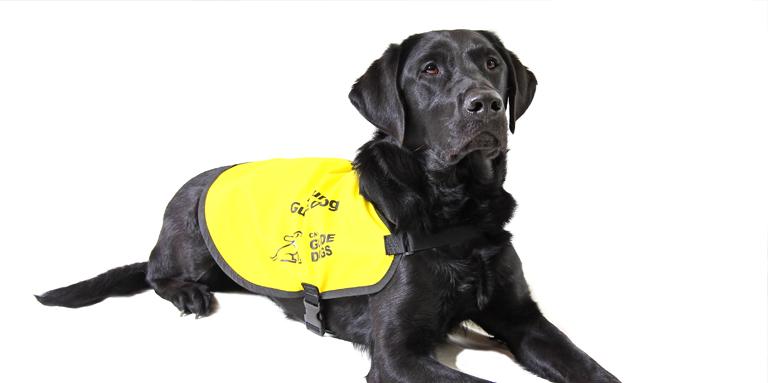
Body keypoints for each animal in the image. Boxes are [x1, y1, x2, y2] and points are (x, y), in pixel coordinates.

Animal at [37, 30, 624, 383]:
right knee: (154, 272)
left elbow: (591, 368)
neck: (457, 213)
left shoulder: (523, 318)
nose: (488, 103)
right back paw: (188, 294)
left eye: (493, 63)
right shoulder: (398, 355)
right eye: (430, 70)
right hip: (188, 244)